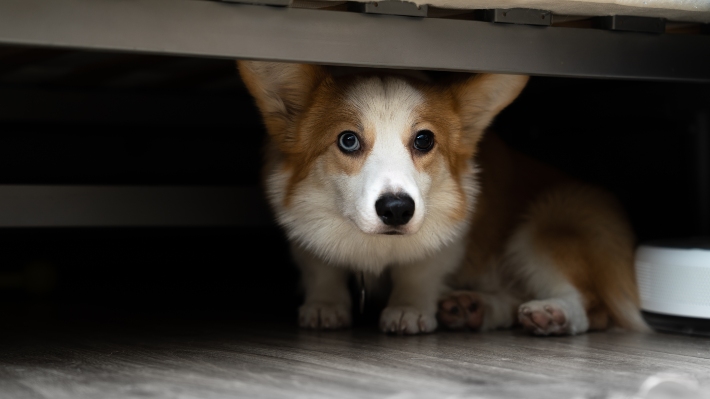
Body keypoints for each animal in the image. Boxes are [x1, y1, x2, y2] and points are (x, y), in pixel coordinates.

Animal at [239, 61, 652, 336]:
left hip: (544, 226)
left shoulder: (449, 228)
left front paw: (407, 309)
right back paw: (474, 308)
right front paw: (325, 306)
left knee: (591, 305)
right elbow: (321, 267)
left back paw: (554, 314)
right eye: (348, 140)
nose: (397, 209)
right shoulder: (302, 224)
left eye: (424, 140)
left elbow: (419, 268)